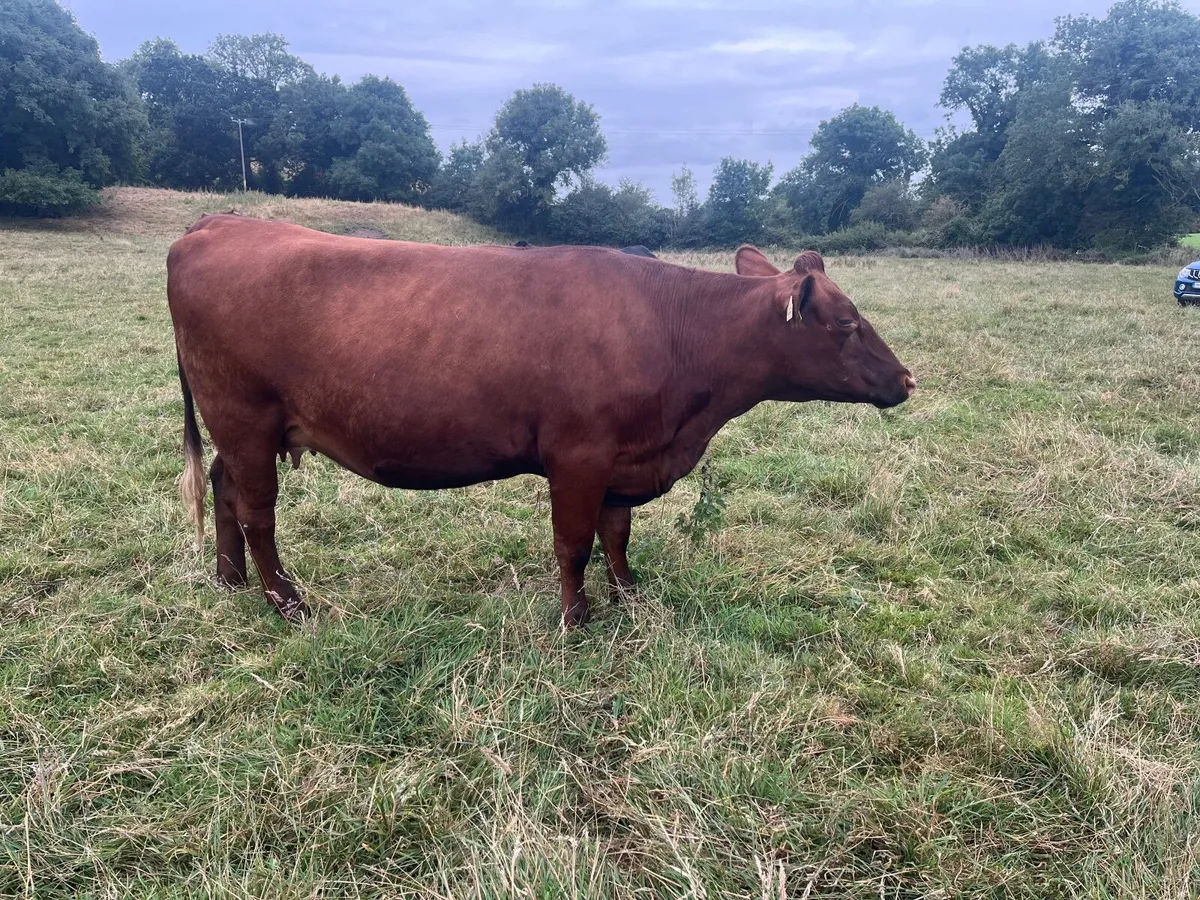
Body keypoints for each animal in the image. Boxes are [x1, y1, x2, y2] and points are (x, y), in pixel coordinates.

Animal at [168, 215, 915, 627]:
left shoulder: (624, 458)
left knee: (225, 490)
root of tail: (217, 224)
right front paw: (575, 619)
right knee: (257, 511)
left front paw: (629, 596)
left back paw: (230, 580)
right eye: (846, 325)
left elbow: (617, 535)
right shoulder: (579, 455)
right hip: (244, 418)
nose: (908, 380)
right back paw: (286, 601)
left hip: (242, 430)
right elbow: (573, 542)